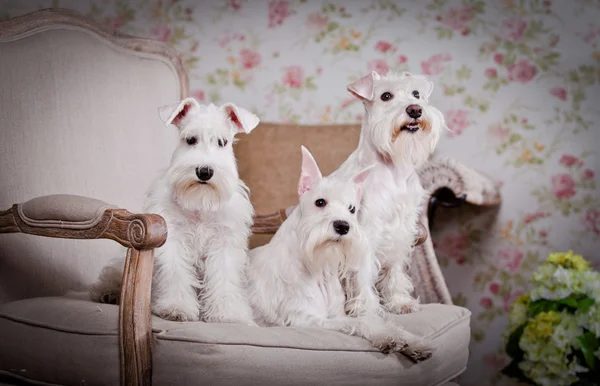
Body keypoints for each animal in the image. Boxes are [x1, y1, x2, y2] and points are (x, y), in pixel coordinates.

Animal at [90, 98, 258, 324]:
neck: (199, 203)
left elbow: (223, 277)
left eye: (222, 142)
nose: (204, 171)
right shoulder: (173, 238)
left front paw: (227, 313)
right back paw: (108, 292)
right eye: (190, 139)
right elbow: (176, 273)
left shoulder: (224, 241)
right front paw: (176, 307)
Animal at [246, 146, 434, 362]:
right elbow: (360, 323)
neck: (319, 267)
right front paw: (389, 338)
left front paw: (413, 342)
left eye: (352, 209)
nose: (342, 226)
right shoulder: (306, 318)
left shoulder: (337, 314)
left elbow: (379, 322)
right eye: (320, 202)